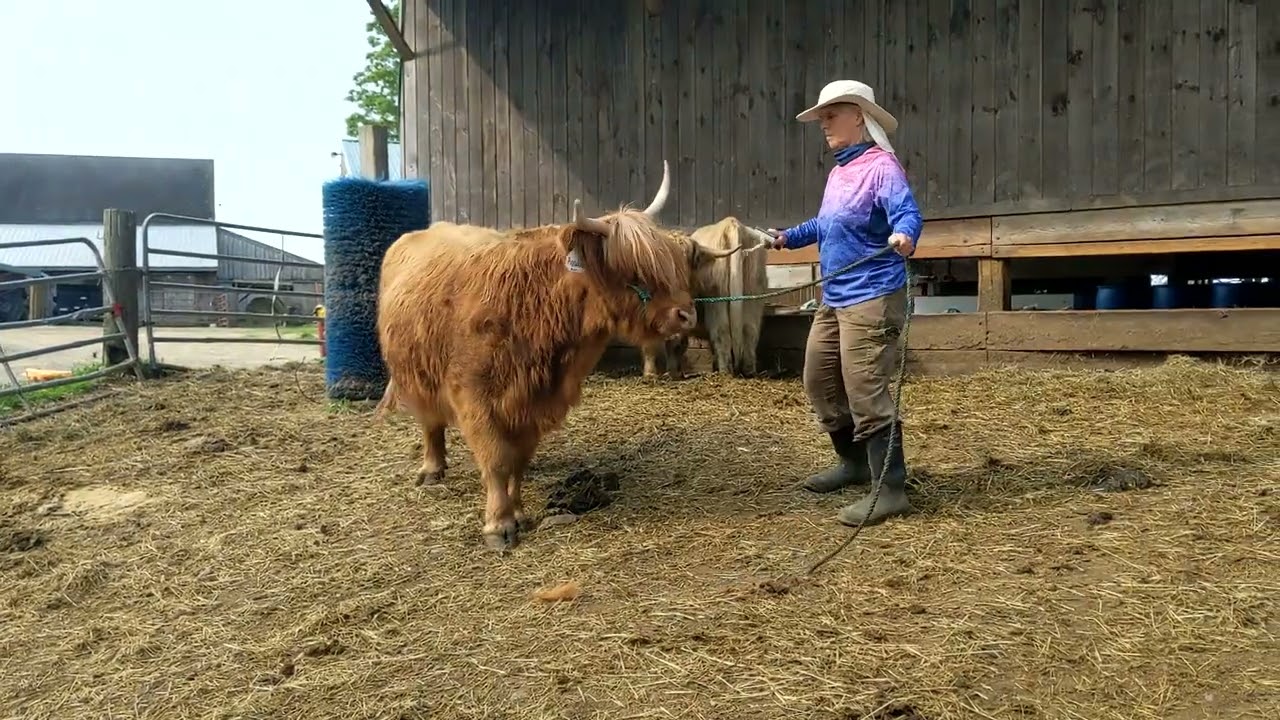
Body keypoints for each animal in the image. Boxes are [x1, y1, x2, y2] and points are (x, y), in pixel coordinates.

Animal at [375, 161, 739, 551]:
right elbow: (496, 459)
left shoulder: (536, 401)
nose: (688, 314)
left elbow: (519, 459)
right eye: (634, 270)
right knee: (430, 422)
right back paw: (432, 468)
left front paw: (518, 511)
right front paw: (499, 524)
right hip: (416, 373)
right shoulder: (474, 396)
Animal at [639, 217, 772, 379]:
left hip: (717, 303)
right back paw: (748, 371)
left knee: (721, 333)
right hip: (752, 296)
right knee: (749, 330)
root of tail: (731, 223)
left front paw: (660, 373)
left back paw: (724, 372)